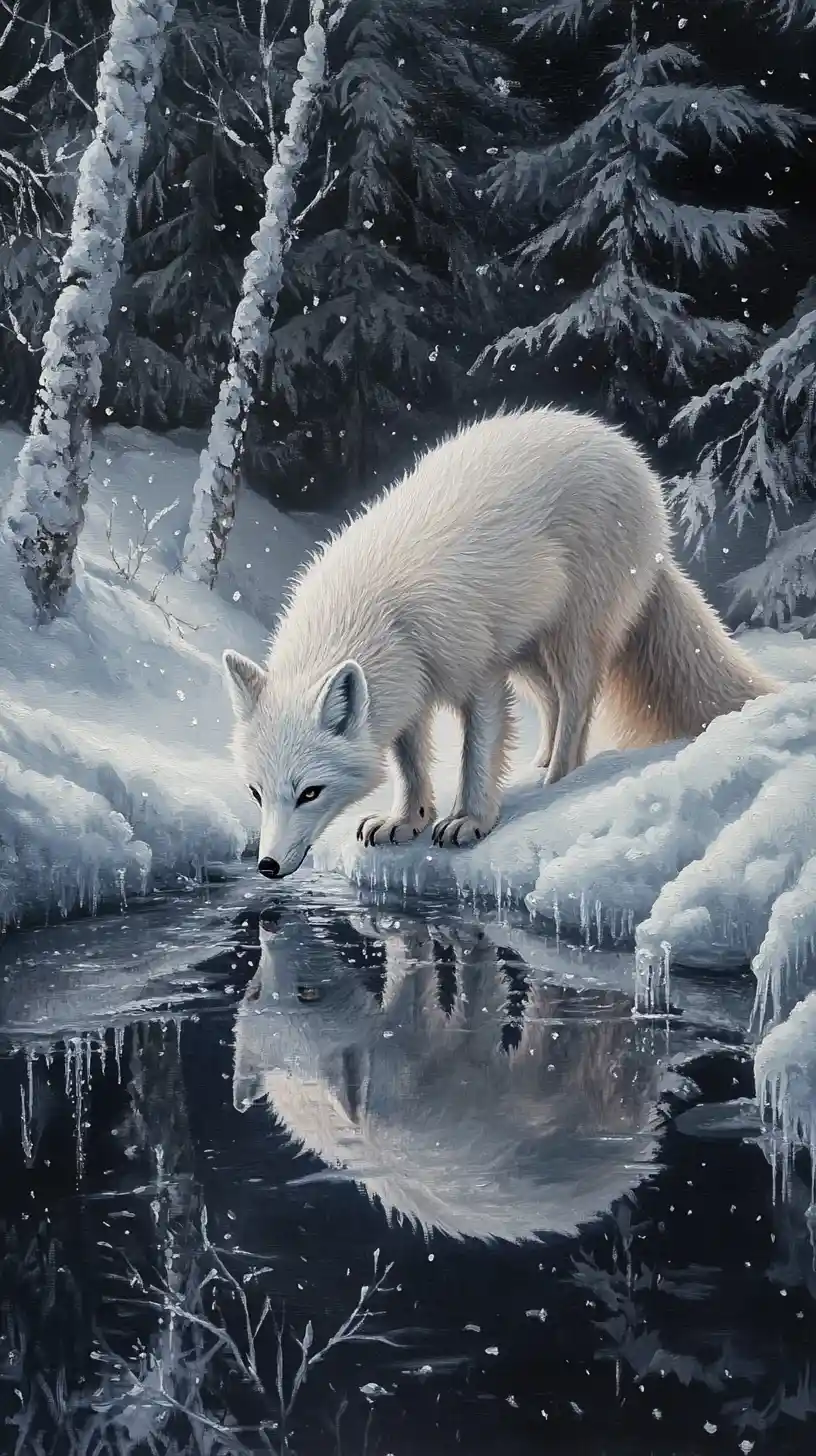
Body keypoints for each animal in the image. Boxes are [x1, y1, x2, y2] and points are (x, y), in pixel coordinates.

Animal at [222, 405, 778, 879]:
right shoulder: (410, 691)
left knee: (577, 707)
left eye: (310, 793)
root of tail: (616, 442)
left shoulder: (480, 678)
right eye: (255, 793)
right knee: (553, 704)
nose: (267, 866)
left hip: (571, 637)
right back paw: (539, 765)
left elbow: (477, 754)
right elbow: (410, 762)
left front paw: (469, 821)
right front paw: (408, 820)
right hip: (529, 655)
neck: (374, 615)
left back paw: (559, 781)